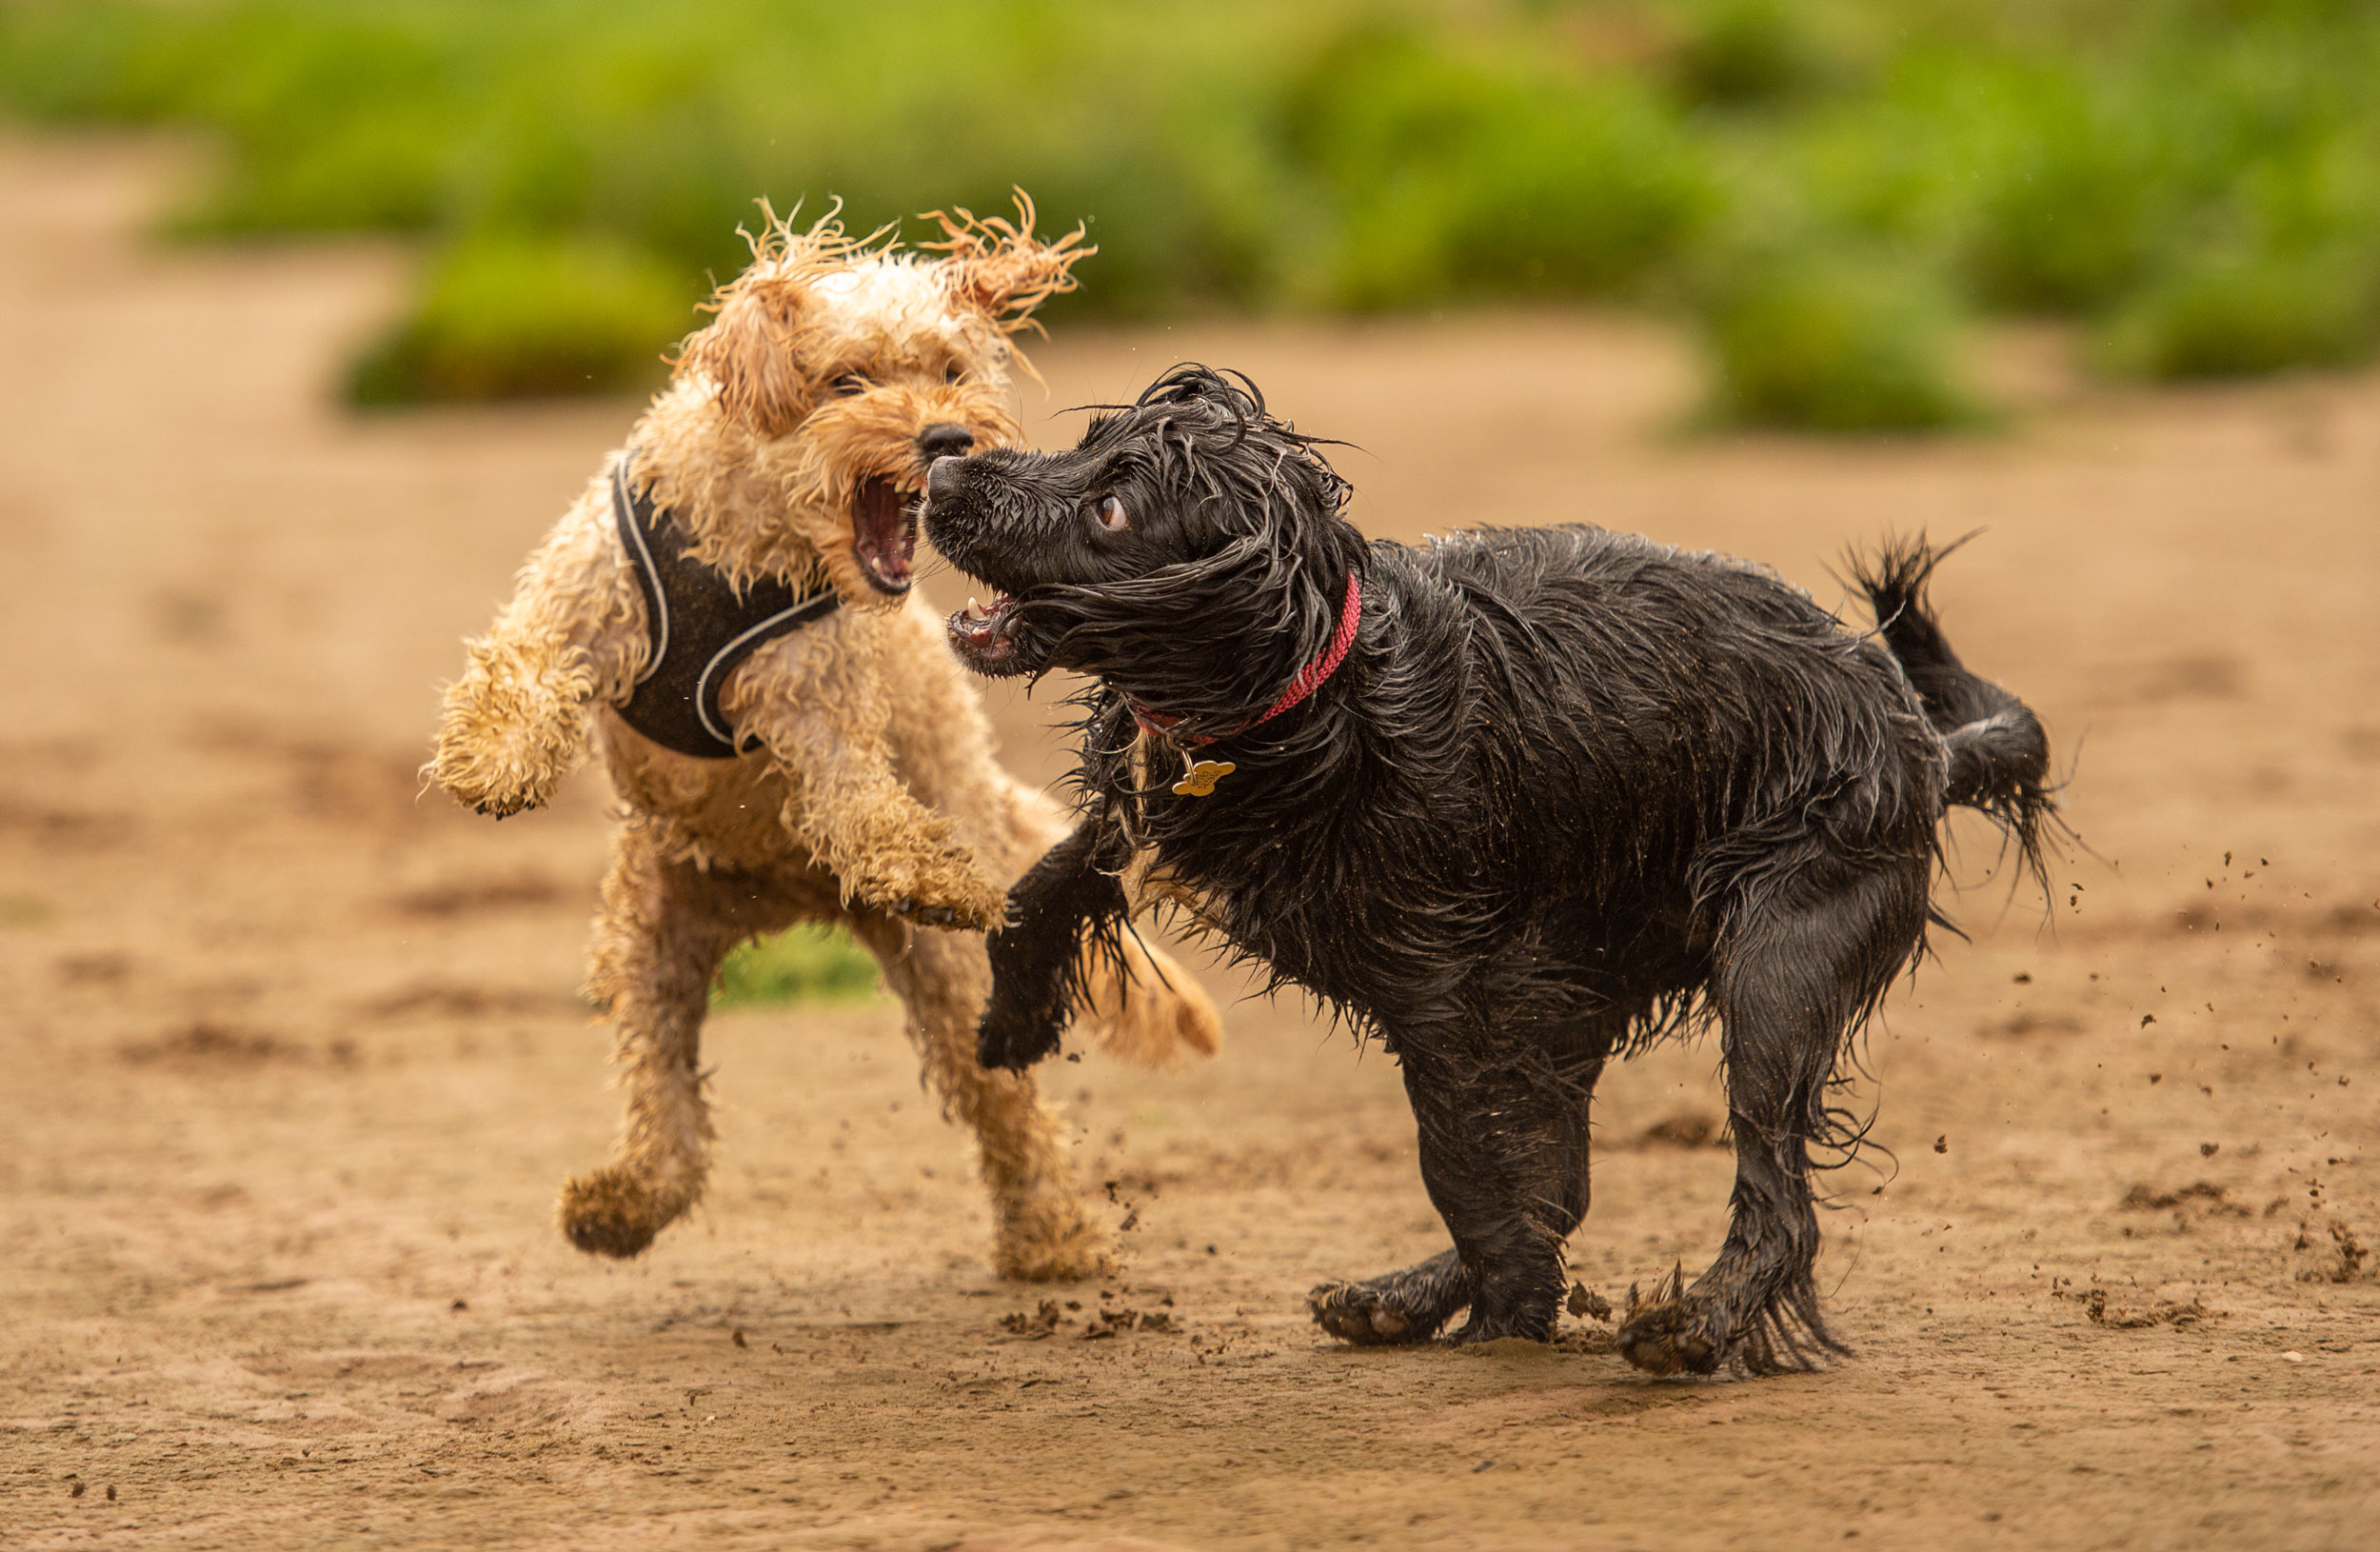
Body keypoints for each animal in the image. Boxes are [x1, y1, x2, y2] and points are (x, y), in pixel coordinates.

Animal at [424, 200, 1228, 1276]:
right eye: (847, 380)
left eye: (950, 369)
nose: (946, 435)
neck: (749, 542)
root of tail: (786, 902)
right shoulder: (583, 600)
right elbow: (522, 664)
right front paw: (493, 759)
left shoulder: (823, 709)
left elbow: (859, 802)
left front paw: (931, 869)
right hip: (649, 936)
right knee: (666, 1104)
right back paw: (621, 1200)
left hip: (944, 973)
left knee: (1003, 1105)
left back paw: (1052, 1235)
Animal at [919, 368, 2056, 1381]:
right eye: (1085, 444)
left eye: (1112, 509)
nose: (942, 462)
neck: (1313, 694)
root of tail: (1921, 742)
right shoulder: (1152, 820)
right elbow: (1036, 886)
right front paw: (1010, 1023)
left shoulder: (1448, 997)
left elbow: (1466, 1170)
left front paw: (1513, 1312)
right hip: (1588, 976)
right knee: (1573, 1180)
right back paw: (1404, 1296)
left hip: (1776, 962)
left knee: (1773, 1197)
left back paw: (1692, 1327)